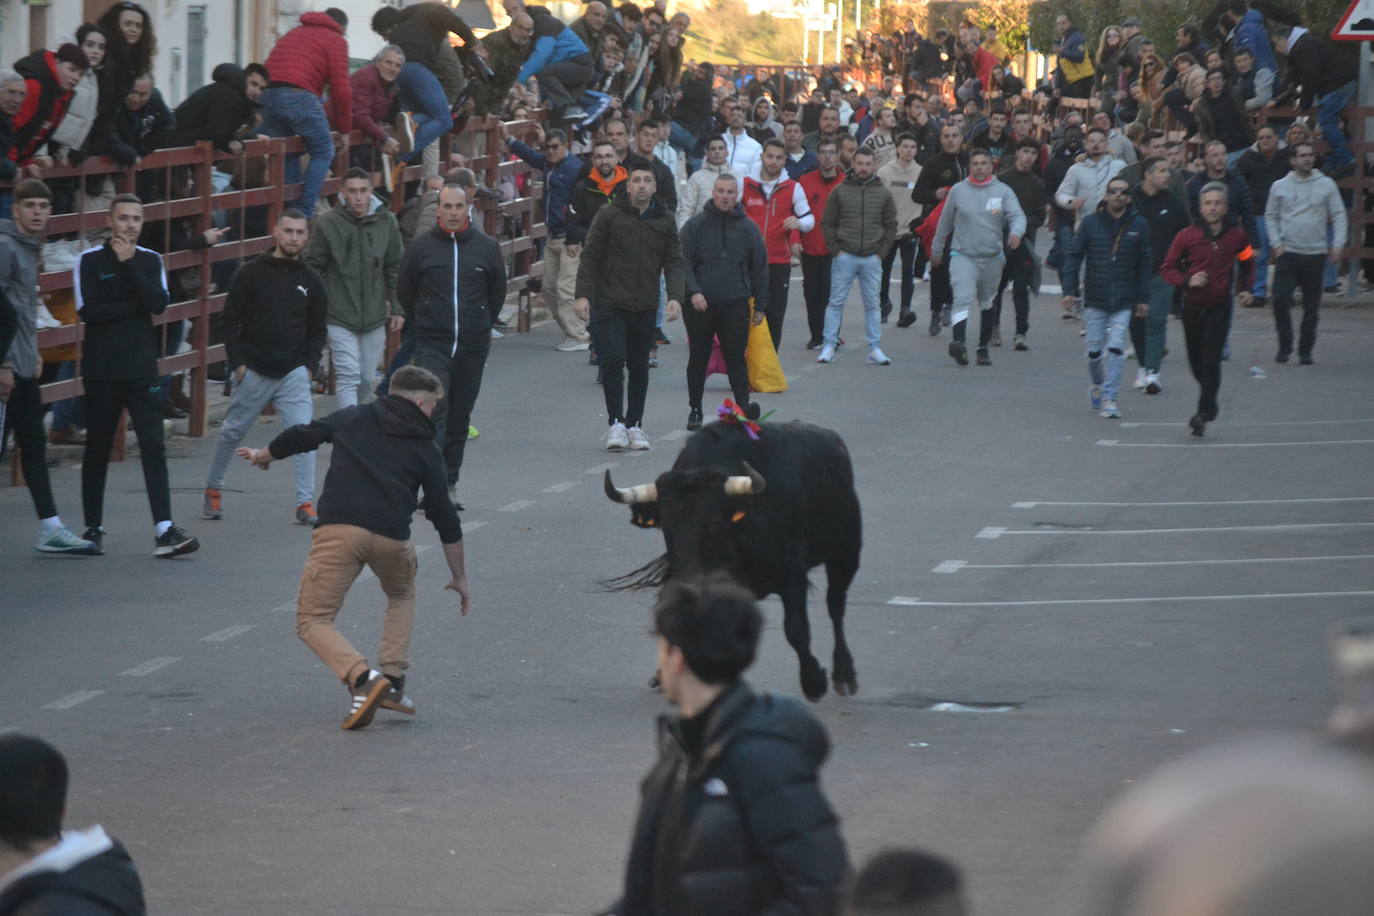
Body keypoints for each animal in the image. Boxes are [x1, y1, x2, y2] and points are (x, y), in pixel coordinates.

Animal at [604, 422, 857, 703]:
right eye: (667, 528)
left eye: (714, 522)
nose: (688, 581)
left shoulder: (792, 574)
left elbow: (796, 628)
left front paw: (813, 682)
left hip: (846, 551)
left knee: (836, 605)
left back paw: (844, 674)